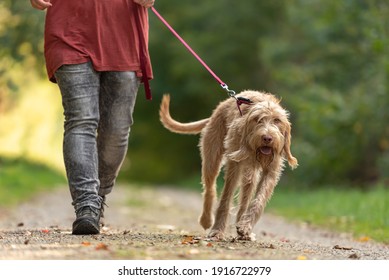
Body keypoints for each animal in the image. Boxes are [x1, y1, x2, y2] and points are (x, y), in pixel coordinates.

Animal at [158, 90, 298, 241]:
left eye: (277, 120)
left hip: (250, 174)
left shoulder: (271, 171)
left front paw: (246, 227)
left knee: (244, 199)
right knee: (210, 189)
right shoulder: (234, 165)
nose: (267, 138)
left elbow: (258, 201)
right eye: (257, 119)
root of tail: (220, 107)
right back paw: (206, 219)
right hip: (212, 158)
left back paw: (242, 228)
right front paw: (217, 230)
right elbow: (225, 197)